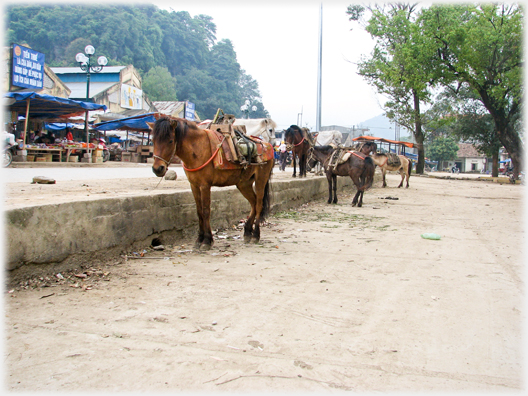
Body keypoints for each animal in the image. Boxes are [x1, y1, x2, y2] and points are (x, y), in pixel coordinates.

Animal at [148, 115, 272, 251]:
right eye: (153, 141)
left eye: (170, 141)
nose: (157, 169)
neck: (196, 149)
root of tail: (267, 145)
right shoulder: (194, 185)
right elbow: (199, 212)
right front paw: (199, 239)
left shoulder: (205, 185)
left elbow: (206, 211)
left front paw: (207, 240)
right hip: (243, 184)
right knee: (253, 203)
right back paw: (247, 232)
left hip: (261, 179)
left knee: (259, 204)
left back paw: (255, 235)